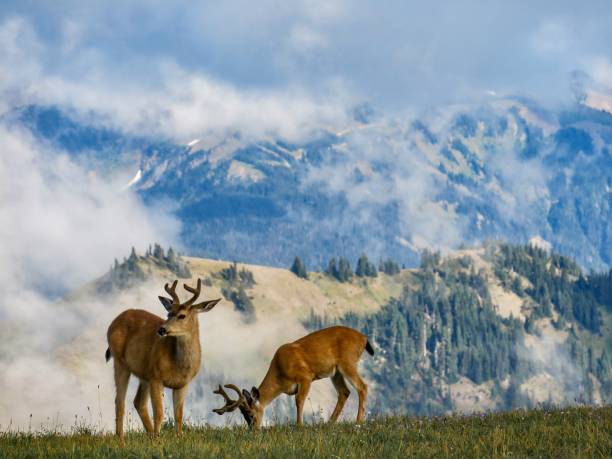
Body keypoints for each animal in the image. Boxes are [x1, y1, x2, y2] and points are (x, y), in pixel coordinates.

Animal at [105, 278, 220, 444]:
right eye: (168, 313)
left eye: (182, 315)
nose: (161, 329)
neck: (179, 365)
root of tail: (113, 322)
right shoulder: (156, 378)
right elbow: (159, 414)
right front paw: (158, 442)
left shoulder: (182, 384)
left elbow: (179, 414)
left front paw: (178, 438)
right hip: (120, 363)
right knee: (119, 401)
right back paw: (123, 441)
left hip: (144, 373)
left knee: (138, 402)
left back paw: (150, 436)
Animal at [210, 326, 372, 430]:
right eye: (244, 416)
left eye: (250, 413)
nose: (253, 429)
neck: (280, 377)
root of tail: (364, 338)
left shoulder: (305, 377)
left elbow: (299, 400)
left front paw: (299, 425)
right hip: (336, 372)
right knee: (344, 392)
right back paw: (329, 423)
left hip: (348, 362)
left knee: (362, 387)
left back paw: (358, 422)